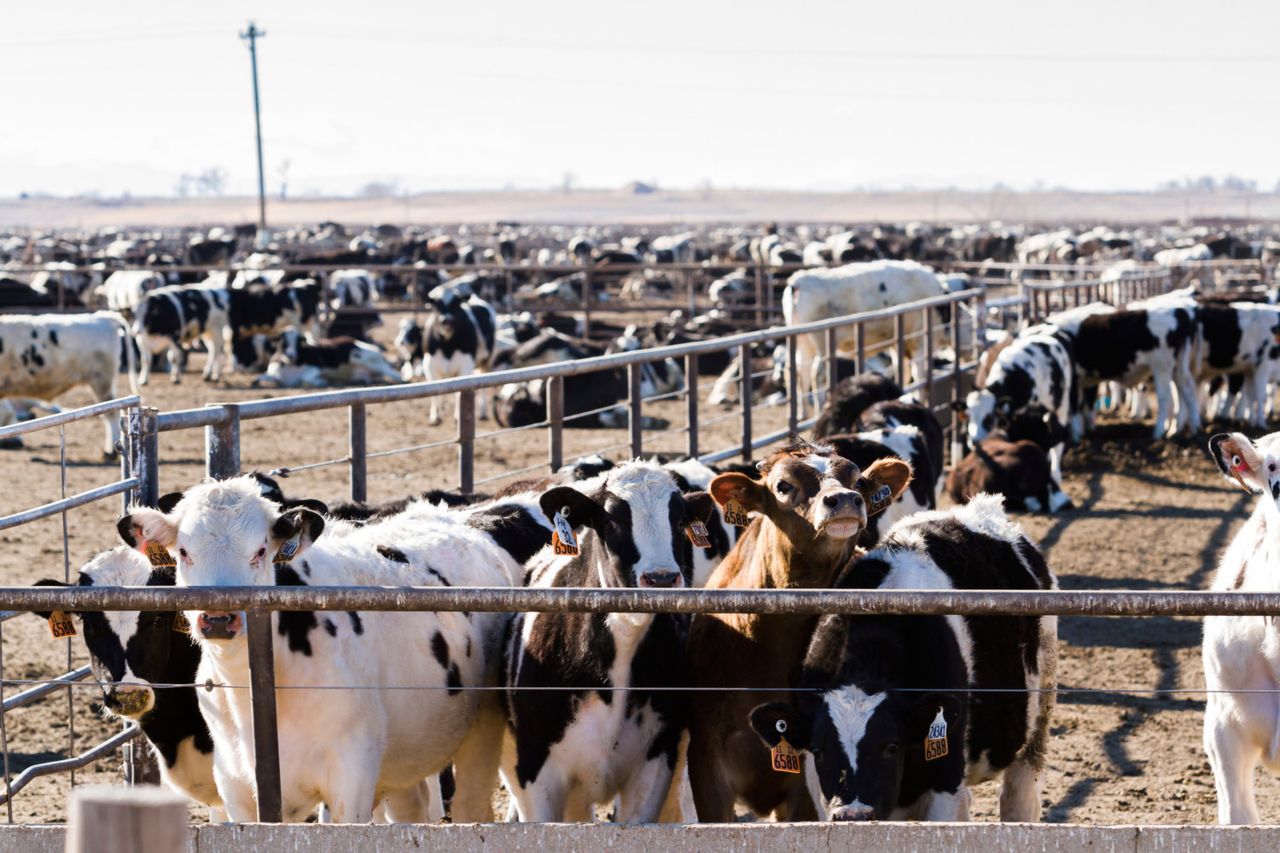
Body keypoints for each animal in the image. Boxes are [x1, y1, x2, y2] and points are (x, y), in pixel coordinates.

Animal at [747, 494, 1054, 819]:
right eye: (819, 750)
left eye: (891, 746)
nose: (854, 814)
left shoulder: (946, 776)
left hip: (1036, 724)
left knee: (1019, 798)